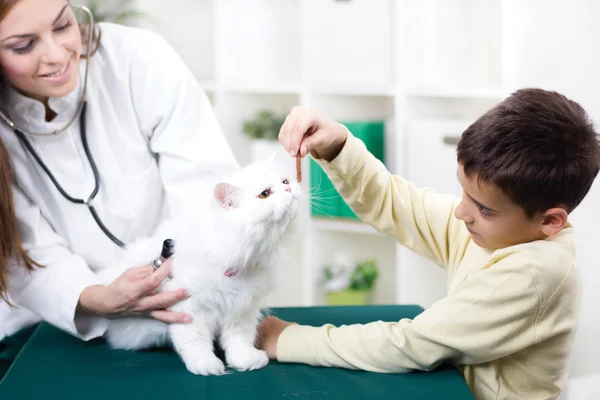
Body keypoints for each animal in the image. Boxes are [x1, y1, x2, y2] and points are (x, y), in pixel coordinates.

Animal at [97, 159, 300, 376]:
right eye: (265, 194)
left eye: (285, 181)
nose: (289, 189)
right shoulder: (191, 310)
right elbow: (196, 343)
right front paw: (206, 365)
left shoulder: (241, 310)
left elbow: (239, 340)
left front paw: (245, 361)